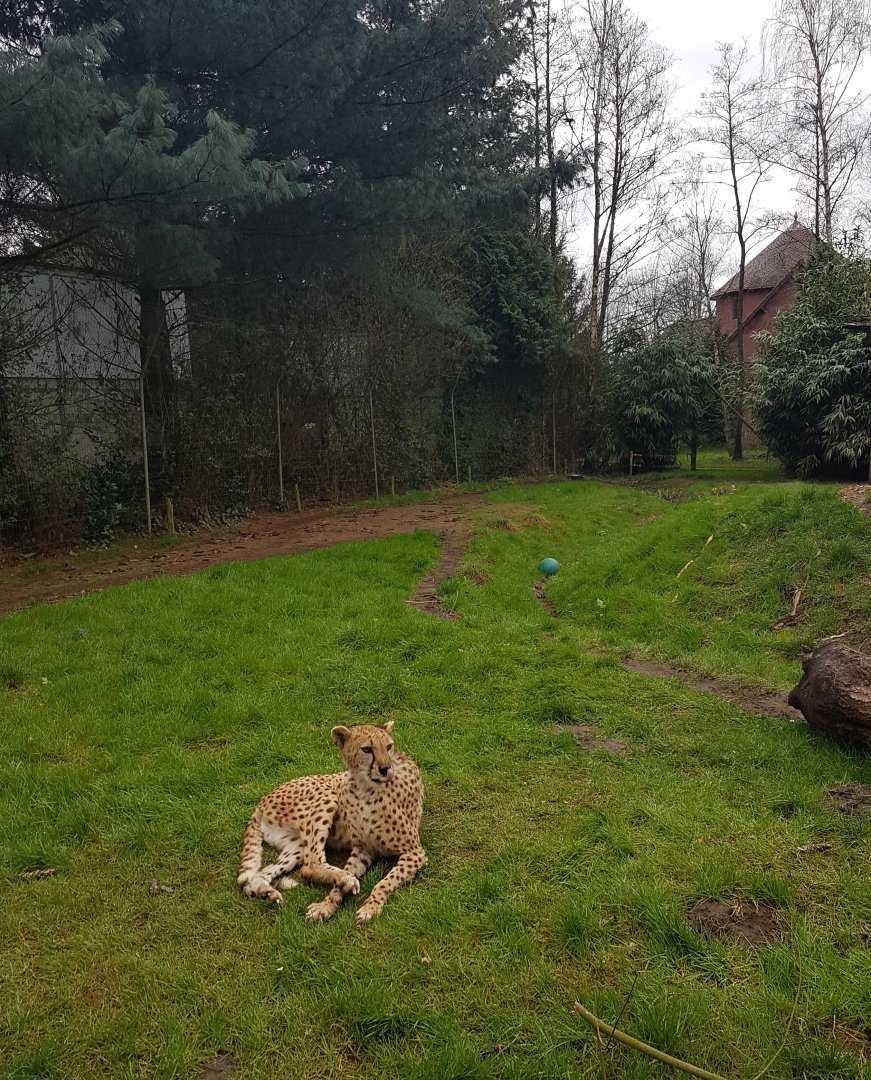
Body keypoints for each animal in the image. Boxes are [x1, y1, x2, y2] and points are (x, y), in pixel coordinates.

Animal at [237, 720, 426, 923]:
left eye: (389, 746)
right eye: (367, 749)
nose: (385, 768)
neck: (365, 788)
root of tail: (262, 800)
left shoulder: (411, 852)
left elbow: (385, 882)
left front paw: (368, 906)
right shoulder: (367, 848)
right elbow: (349, 878)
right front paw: (329, 902)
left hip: (296, 845)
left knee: (263, 874)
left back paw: (266, 892)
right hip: (327, 796)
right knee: (310, 864)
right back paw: (344, 878)